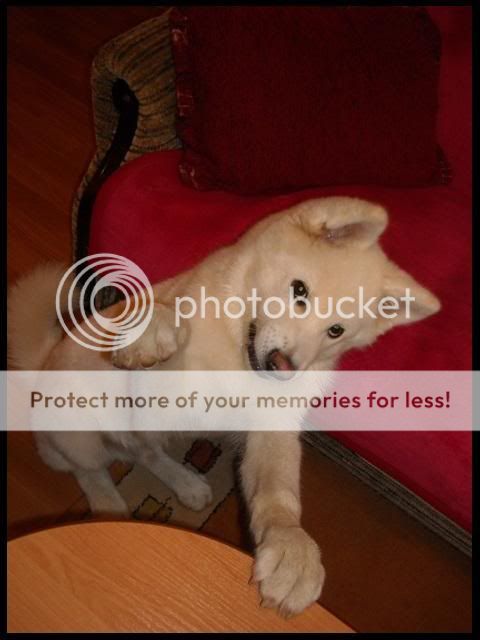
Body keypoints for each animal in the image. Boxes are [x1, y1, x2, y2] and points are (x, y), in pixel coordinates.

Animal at [8, 197, 440, 617]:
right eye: (299, 290)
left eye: (336, 330)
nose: (283, 365)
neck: (237, 355)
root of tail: (41, 365)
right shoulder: (158, 385)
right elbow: (168, 327)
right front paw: (154, 330)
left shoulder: (270, 429)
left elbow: (278, 492)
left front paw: (292, 551)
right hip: (74, 429)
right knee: (90, 470)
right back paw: (108, 505)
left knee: (144, 451)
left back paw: (185, 484)